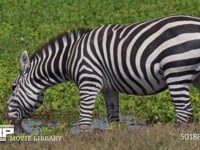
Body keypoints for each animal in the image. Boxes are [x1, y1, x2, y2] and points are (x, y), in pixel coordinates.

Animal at [3, 14, 200, 131]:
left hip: (176, 72)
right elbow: (113, 120)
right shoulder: (109, 89)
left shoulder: (88, 83)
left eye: (13, 87)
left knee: (184, 113)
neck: (69, 58)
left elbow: (83, 121)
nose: (4, 116)